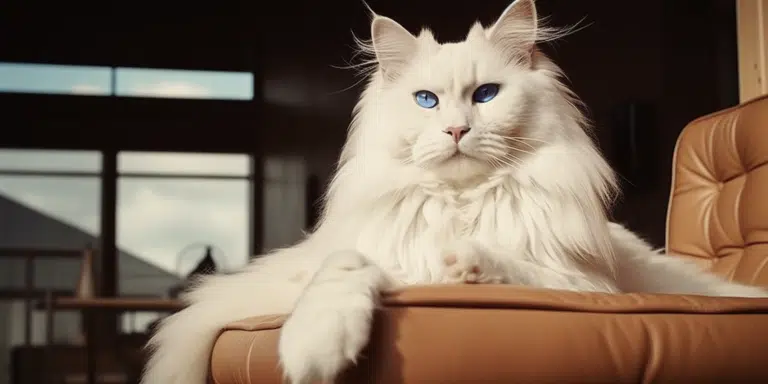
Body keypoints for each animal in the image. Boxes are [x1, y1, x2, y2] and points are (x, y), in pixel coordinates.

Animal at [140, 0, 768, 384]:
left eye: (486, 94)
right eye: (427, 101)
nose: (457, 130)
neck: (461, 204)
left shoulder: (583, 285)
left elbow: (511, 263)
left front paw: (465, 264)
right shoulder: (363, 259)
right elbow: (345, 272)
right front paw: (316, 350)